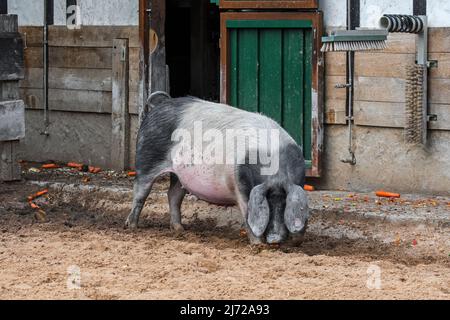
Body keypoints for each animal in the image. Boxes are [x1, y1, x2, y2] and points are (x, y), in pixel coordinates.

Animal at [126, 92, 310, 245]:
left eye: (285, 204)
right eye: (268, 204)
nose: (275, 239)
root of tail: (161, 104)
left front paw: (295, 242)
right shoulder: (240, 187)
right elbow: (247, 215)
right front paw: (258, 245)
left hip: (180, 175)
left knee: (173, 195)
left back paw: (179, 229)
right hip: (146, 158)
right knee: (140, 193)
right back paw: (132, 226)